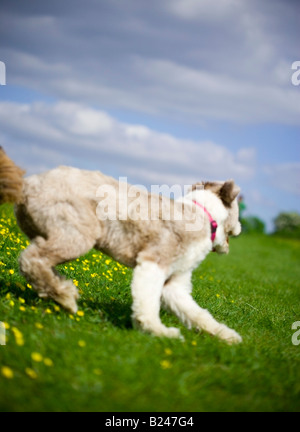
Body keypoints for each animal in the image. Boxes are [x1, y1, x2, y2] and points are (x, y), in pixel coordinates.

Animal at [0, 148, 243, 344]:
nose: (240, 227)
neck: (202, 214)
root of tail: (28, 184)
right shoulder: (152, 264)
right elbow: (147, 304)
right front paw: (158, 331)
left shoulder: (174, 284)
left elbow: (198, 314)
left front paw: (227, 336)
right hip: (77, 235)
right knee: (32, 260)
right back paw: (64, 296)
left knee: (39, 263)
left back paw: (59, 288)